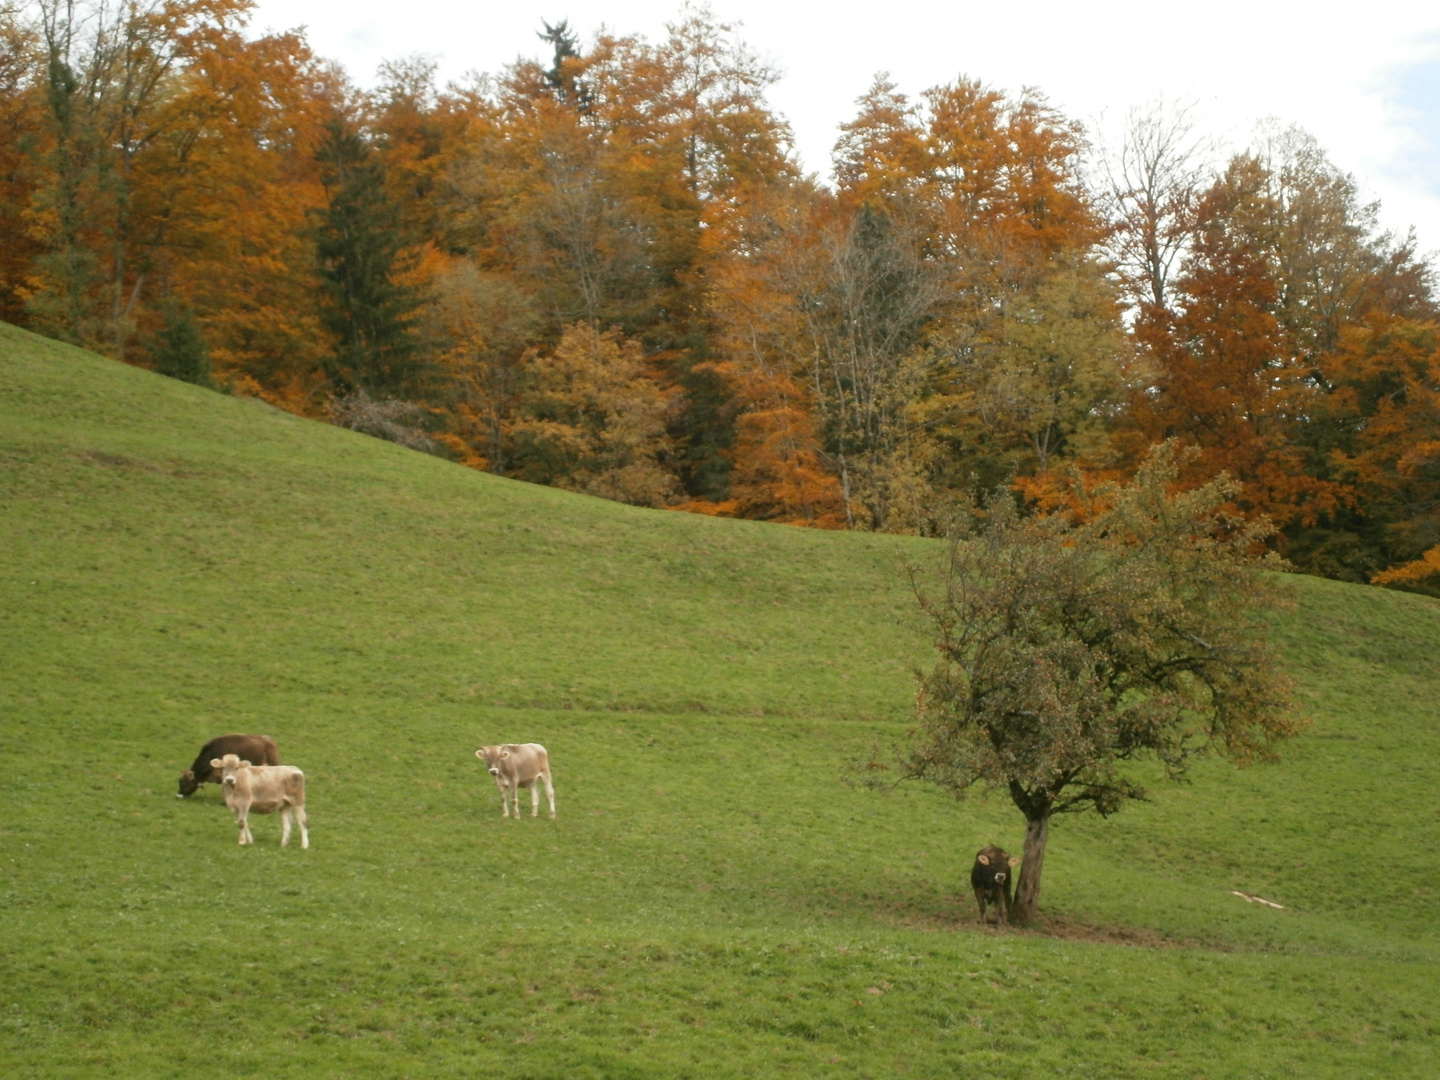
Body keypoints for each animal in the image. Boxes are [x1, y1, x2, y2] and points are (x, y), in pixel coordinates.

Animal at [910, 443, 1307, 927]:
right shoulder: (979, 887)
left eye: (1008, 864)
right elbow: (982, 904)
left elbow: (1000, 907)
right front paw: (987, 923)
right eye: (995, 865)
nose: (1003, 875)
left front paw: (1003, 923)